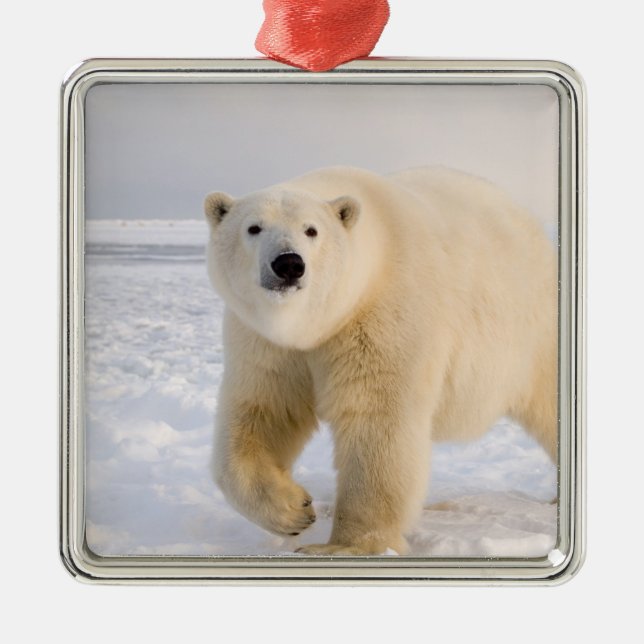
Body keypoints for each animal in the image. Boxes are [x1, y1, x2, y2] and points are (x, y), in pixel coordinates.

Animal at [204, 166, 557, 555]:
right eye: (254, 227)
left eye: (312, 230)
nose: (289, 263)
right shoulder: (266, 342)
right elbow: (264, 411)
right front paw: (295, 510)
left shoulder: (384, 316)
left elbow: (375, 420)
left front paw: (345, 547)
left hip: (534, 331)